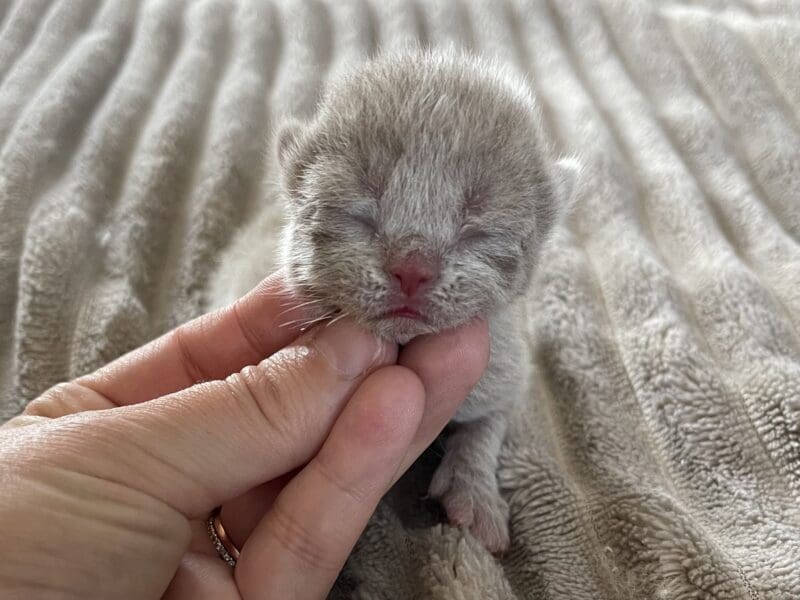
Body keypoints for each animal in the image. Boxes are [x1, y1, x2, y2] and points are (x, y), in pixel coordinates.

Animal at [209, 50, 580, 552]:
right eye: (359, 213)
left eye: (477, 229)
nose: (412, 268)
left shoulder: (508, 365)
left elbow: (488, 424)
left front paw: (474, 494)